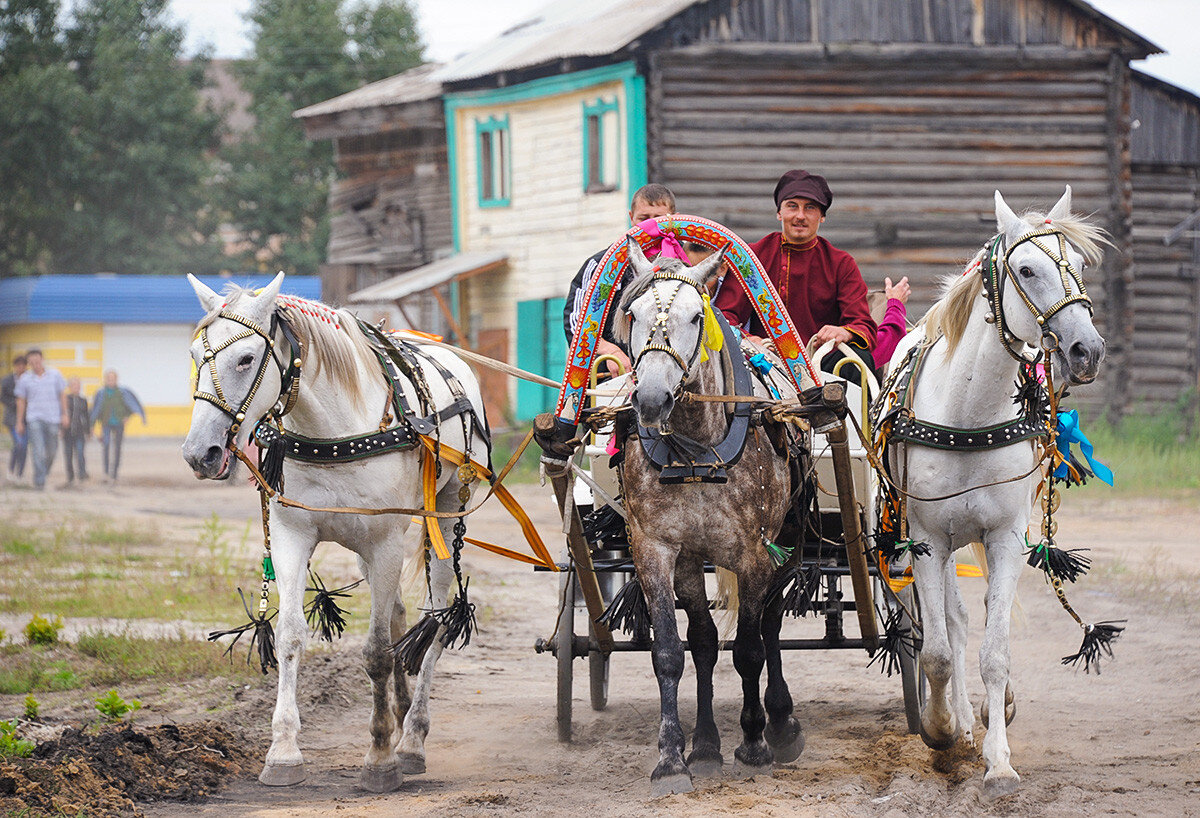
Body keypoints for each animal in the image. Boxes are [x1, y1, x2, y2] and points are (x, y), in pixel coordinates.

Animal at [178, 273, 487, 791]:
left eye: (246, 359)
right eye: (196, 357)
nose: (200, 453)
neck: (335, 431)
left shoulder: (385, 542)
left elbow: (378, 651)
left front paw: (380, 756)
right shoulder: (291, 534)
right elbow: (290, 636)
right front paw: (283, 752)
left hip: (444, 514)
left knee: (436, 618)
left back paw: (412, 737)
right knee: (401, 615)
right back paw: (402, 711)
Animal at [892, 188, 1104, 791]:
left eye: (1080, 267)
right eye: (1026, 269)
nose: (1086, 350)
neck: (970, 413)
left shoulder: (1007, 536)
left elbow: (996, 650)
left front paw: (1000, 758)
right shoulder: (927, 540)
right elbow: (940, 652)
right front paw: (942, 730)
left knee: (983, 619)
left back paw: (990, 713)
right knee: (955, 624)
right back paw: (960, 720)